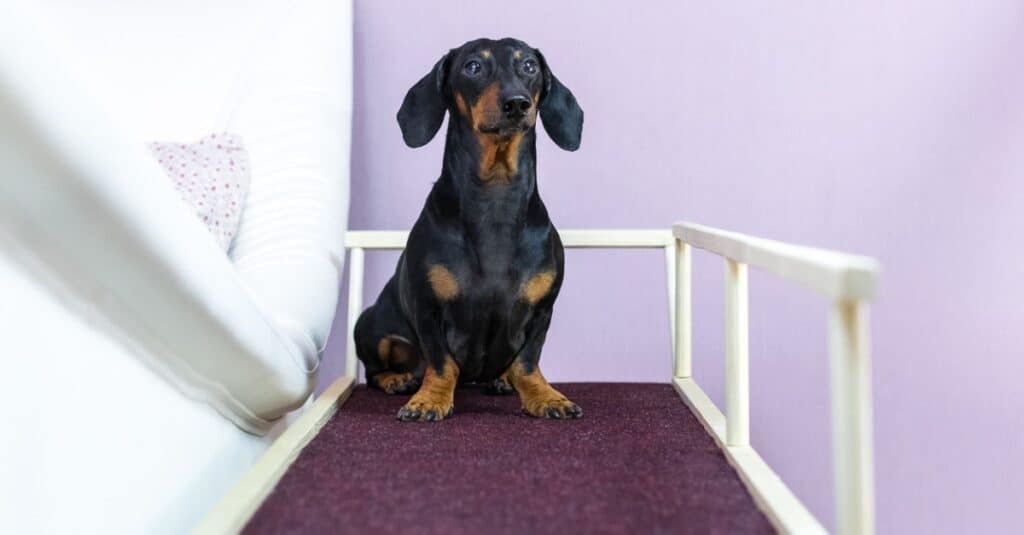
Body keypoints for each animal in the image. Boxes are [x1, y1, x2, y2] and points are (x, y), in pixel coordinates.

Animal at [356, 38, 585, 420]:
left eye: (529, 66)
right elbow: (441, 363)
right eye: (473, 66)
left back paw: (502, 380)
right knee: (374, 372)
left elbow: (527, 361)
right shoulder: (428, 309)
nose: (517, 103)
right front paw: (429, 399)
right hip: (370, 327)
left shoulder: (542, 311)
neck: (495, 194)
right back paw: (398, 379)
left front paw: (545, 396)